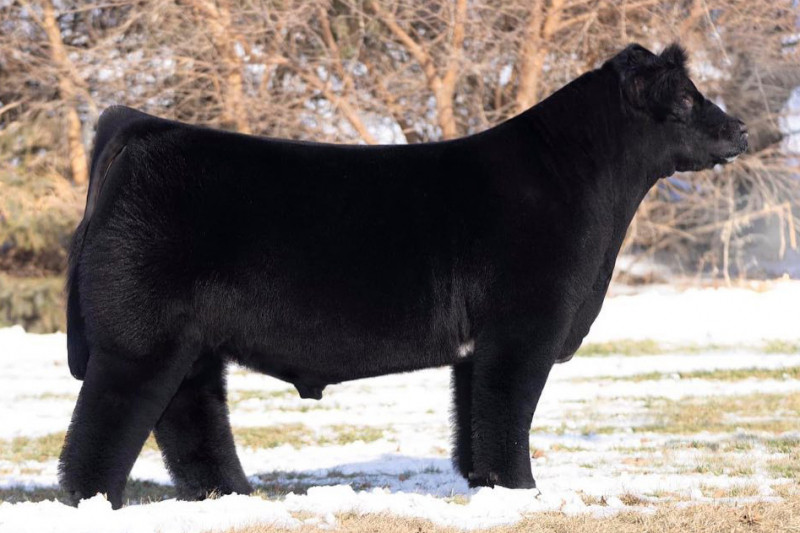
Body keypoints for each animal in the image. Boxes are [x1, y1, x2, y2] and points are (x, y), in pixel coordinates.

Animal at [59, 43, 748, 509]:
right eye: (686, 98)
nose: (740, 127)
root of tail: (143, 128)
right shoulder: (524, 330)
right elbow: (508, 414)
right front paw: (522, 491)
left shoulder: (479, 349)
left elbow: (476, 421)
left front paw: (488, 490)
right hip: (139, 340)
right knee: (106, 424)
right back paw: (93, 505)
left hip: (190, 342)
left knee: (189, 415)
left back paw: (231, 496)